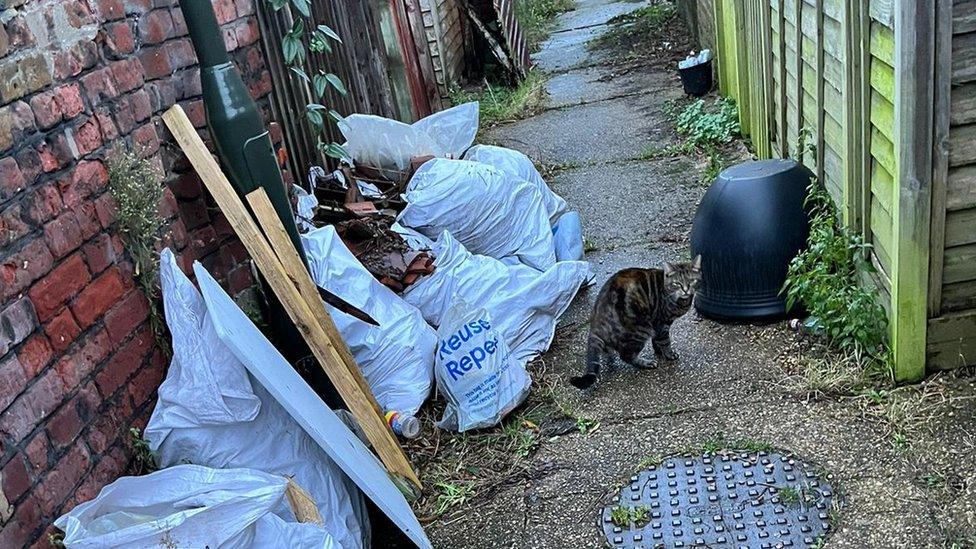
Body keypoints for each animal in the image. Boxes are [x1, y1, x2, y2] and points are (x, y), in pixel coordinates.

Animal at [572, 255, 700, 388]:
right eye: (677, 283)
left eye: (692, 281)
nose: (686, 290)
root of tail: (597, 318)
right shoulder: (661, 323)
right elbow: (665, 341)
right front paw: (669, 354)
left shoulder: (656, 324)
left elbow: (656, 340)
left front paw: (659, 351)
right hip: (640, 329)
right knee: (626, 355)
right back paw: (646, 363)